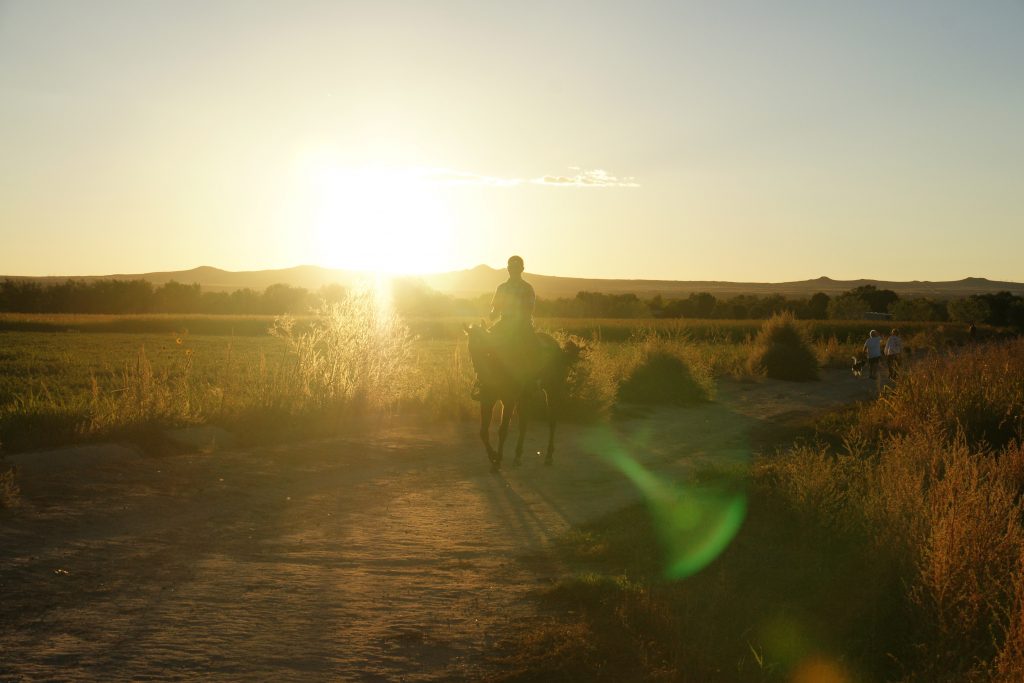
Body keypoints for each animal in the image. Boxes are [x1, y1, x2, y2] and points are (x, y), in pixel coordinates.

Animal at [462, 323, 581, 466]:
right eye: (470, 347)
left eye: (487, 348)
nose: (482, 374)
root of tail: (559, 350)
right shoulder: (487, 400)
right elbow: (483, 432)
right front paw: (493, 455)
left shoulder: (509, 401)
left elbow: (503, 430)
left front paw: (497, 459)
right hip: (525, 396)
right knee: (524, 422)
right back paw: (518, 455)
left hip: (552, 390)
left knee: (552, 421)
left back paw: (548, 456)